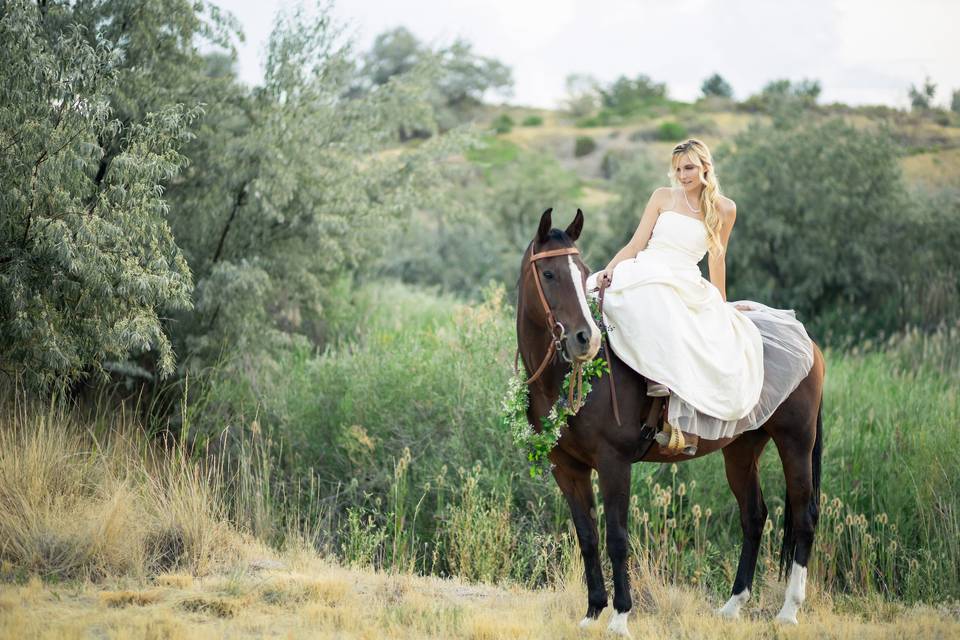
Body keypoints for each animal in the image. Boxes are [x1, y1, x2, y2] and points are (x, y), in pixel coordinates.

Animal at [516, 210, 824, 636]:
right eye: (548, 273)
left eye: (584, 272)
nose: (585, 339)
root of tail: (807, 341)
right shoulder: (567, 468)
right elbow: (588, 537)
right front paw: (592, 613)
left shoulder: (614, 464)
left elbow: (617, 538)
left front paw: (620, 617)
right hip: (742, 450)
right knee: (754, 516)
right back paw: (733, 605)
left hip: (796, 442)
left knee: (804, 515)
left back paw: (789, 611)